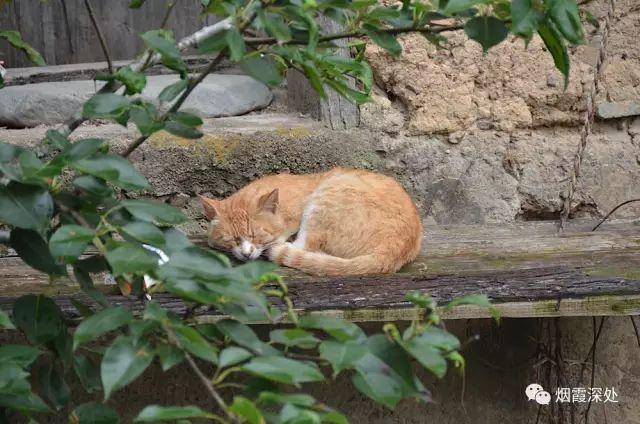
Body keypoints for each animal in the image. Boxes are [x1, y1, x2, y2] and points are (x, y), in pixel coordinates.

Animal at [199, 167, 420, 276]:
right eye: (233, 240)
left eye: (256, 235)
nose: (246, 253)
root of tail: (390, 253)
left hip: (327, 196)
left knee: (306, 246)